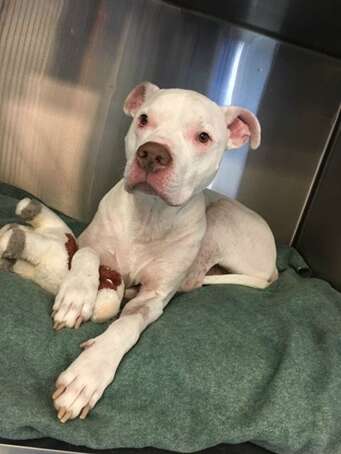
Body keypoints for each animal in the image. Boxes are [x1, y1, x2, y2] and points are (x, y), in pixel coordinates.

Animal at [0, 82, 276, 422]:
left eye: (203, 137)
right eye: (144, 119)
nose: (153, 153)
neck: (148, 215)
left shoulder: (153, 298)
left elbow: (126, 326)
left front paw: (87, 374)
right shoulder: (86, 240)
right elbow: (86, 255)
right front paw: (76, 297)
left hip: (220, 217)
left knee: (196, 275)